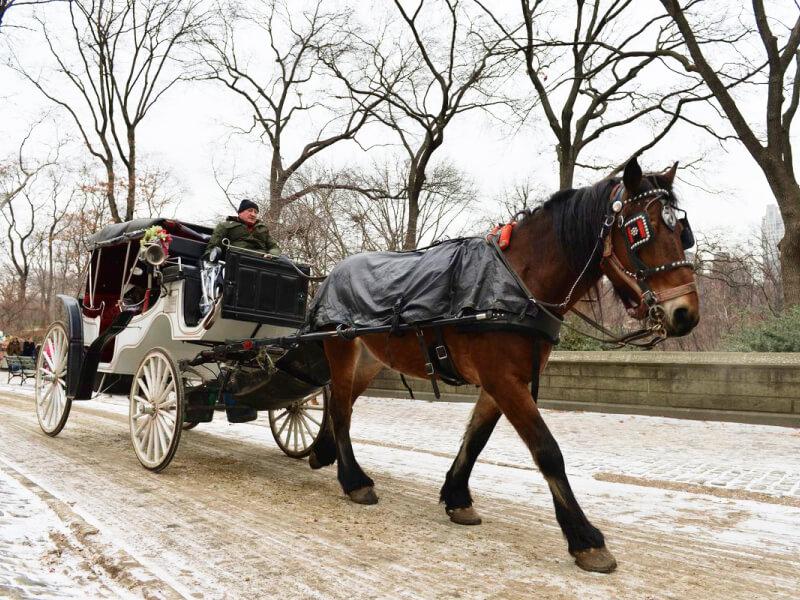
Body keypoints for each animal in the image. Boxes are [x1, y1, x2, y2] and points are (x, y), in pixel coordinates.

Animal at [307, 157, 700, 573]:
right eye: (640, 229)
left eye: (682, 232)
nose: (686, 313)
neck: (516, 286)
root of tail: (333, 272)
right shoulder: (502, 380)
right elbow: (547, 451)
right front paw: (585, 538)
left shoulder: (505, 382)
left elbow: (476, 439)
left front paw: (457, 497)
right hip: (341, 349)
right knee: (341, 410)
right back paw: (354, 481)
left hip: (368, 360)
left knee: (342, 402)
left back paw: (324, 452)